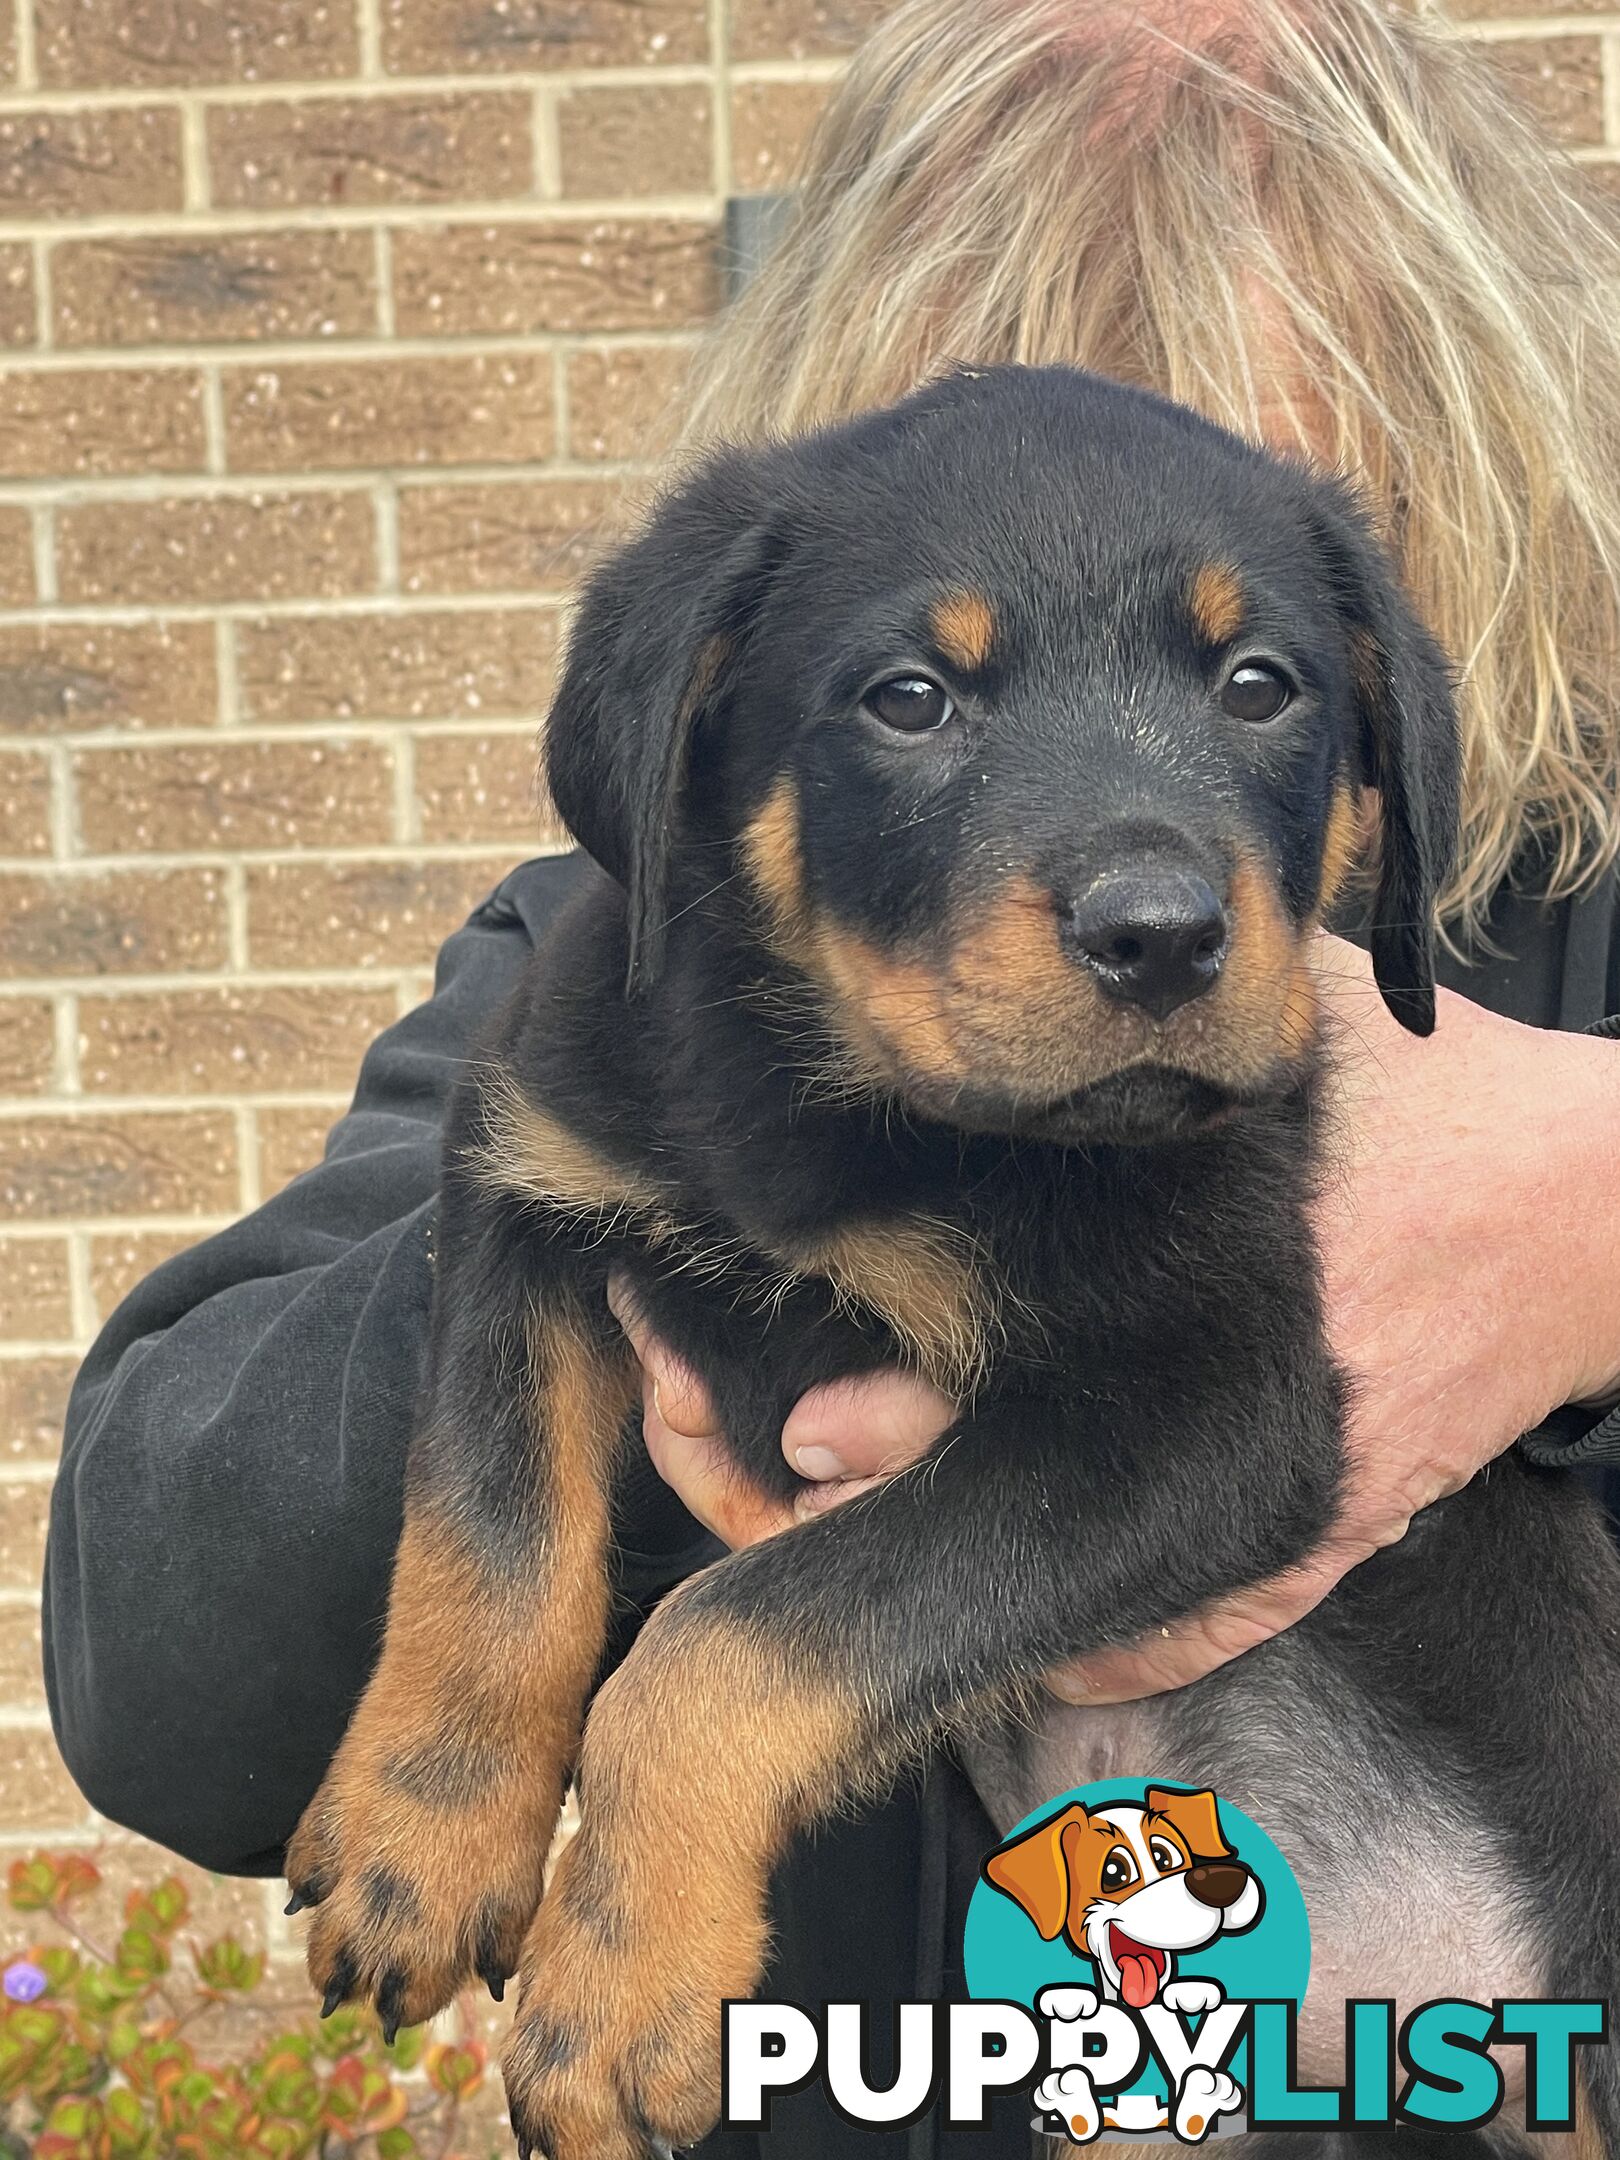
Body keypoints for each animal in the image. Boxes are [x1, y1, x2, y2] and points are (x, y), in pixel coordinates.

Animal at [289, 371, 1620, 2160]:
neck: (854, 1108)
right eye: (908, 699)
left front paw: (620, 1987)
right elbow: (489, 1538)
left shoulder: (1205, 1416)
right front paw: (417, 1844)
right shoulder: (524, 1180)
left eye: (1261, 687)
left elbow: (728, 1635)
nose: (1161, 936)